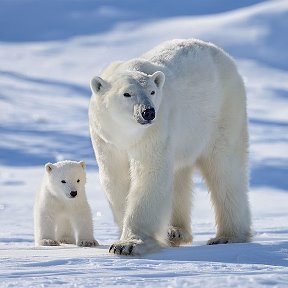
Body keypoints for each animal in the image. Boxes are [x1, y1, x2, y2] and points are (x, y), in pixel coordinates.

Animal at [89, 38, 251, 256]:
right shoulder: (107, 140)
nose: (148, 112)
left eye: (152, 91)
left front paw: (129, 244)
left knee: (225, 169)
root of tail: (222, 54)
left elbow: (150, 174)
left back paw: (228, 236)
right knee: (179, 175)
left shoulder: (154, 131)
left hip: (222, 112)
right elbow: (116, 178)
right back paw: (175, 231)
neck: (127, 133)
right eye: (127, 94)